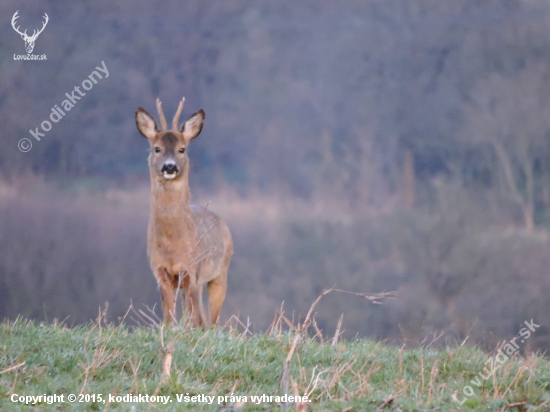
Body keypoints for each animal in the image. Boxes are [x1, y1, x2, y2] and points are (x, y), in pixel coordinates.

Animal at [138, 98, 235, 326]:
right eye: (157, 148)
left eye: (182, 149)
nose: (169, 167)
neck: (172, 245)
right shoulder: (160, 271)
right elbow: (168, 317)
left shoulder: (192, 270)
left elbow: (194, 319)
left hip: (220, 273)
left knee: (210, 320)